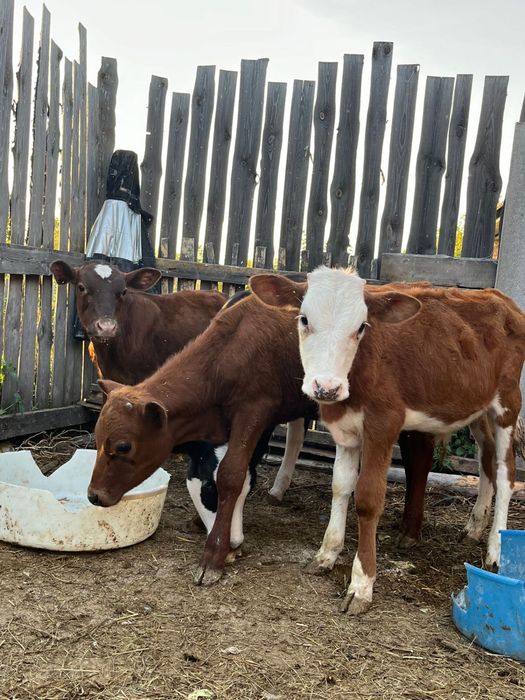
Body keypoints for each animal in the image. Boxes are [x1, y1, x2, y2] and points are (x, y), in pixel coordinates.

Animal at [87, 287, 437, 586]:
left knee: (419, 456)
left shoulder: (255, 410)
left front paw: (215, 554)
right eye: (98, 439)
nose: (94, 495)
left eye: (123, 446)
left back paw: (411, 529)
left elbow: (234, 471)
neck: (231, 349)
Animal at [248, 267, 525, 615]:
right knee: (486, 458)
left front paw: (361, 584)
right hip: (477, 405)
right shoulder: (345, 430)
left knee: (505, 472)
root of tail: (500, 297)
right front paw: (326, 555)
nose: (327, 387)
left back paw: (495, 551)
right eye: (304, 319)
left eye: (361, 327)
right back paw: (474, 528)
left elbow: (368, 499)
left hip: (507, 402)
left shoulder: (384, 424)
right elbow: (340, 487)